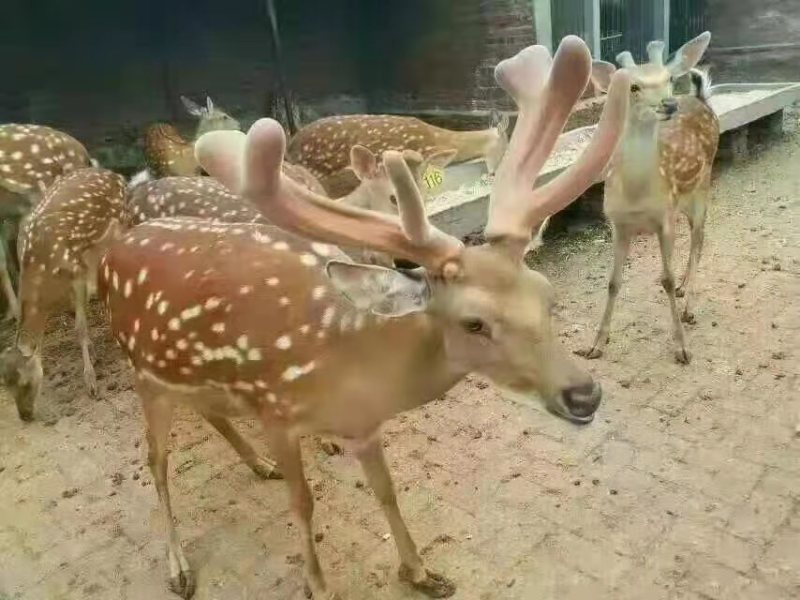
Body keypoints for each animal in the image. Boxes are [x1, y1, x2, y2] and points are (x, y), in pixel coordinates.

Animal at [0, 167, 126, 420]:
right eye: (7, 387)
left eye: (25, 383)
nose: (25, 415)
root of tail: (114, 174)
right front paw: (94, 352)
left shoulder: (76, 273)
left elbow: (80, 327)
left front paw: (91, 383)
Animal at [578, 32, 720, 365]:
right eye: (633, 86)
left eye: (669, 78)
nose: (668, 104)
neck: (636, 195)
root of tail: (700, 98)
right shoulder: (618, 224)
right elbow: (613, 282)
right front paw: (596, 344)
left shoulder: (663, 220)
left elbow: (665, 278)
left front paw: (682, 348)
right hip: (682, 203)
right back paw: (683, 288)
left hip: (702, 188)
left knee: (700, 239)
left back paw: (688, 306)